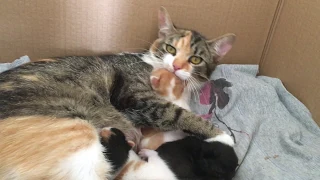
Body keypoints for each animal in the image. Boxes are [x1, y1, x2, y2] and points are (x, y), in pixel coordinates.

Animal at [0, 6, 236, 179]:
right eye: (171, 49)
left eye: (195, 59)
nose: (177, 66)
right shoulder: (137, 98)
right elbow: (177, 113)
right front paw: (223, 138)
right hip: (79, 136)